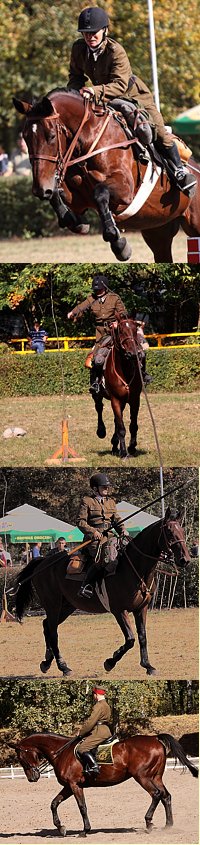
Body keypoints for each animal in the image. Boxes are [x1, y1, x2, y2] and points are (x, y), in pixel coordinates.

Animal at [11, 728, 198, 836]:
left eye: (20, 757)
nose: (32, 778)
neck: (61, 752)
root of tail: (155, 739)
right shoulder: (68, 787)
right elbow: (54, 803)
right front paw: (61, 828)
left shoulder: (74, 785)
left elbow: (82, 806)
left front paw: (85, 830)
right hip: (155, 777)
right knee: (166, 796)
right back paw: (168, 825)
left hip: (143, 777)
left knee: (156, 795)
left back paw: (149, 822)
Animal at [12, 88, 200, 260]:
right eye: (25, 137)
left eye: (51, 136)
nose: (40, 189)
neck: (89, 141)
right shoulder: (78, 199)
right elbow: (58, 195)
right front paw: (75, 222)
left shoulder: (125, 189)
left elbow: (100, 193)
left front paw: (119, 243)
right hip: (158, 230)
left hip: (194, 225)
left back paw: (185, 178)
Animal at [14, 508, 190, 680]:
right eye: (169, 532)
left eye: (182, 530)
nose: (185, 560)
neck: (134, 568)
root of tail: (42, 562)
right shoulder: (119, 610)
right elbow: (130, 639)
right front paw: (110, 662)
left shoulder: (141, 609)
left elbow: (142, 636)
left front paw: (148, 665)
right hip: (53, 605)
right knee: (53, 632)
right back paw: (63, 666)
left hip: (67, 606)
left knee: (47, 627)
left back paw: (47, 662)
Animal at [90, 314, 142, 454]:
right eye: (122, 331)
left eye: (135, 330)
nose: (133, 353)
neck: (124, 370)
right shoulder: (115, 399)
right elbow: (121, 428)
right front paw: (124, 452)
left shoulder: (135, 400)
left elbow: (132, 425)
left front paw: (132, 447)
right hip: (97, 395)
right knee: (99, 408)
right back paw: (101, 431)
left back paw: (114, 444)